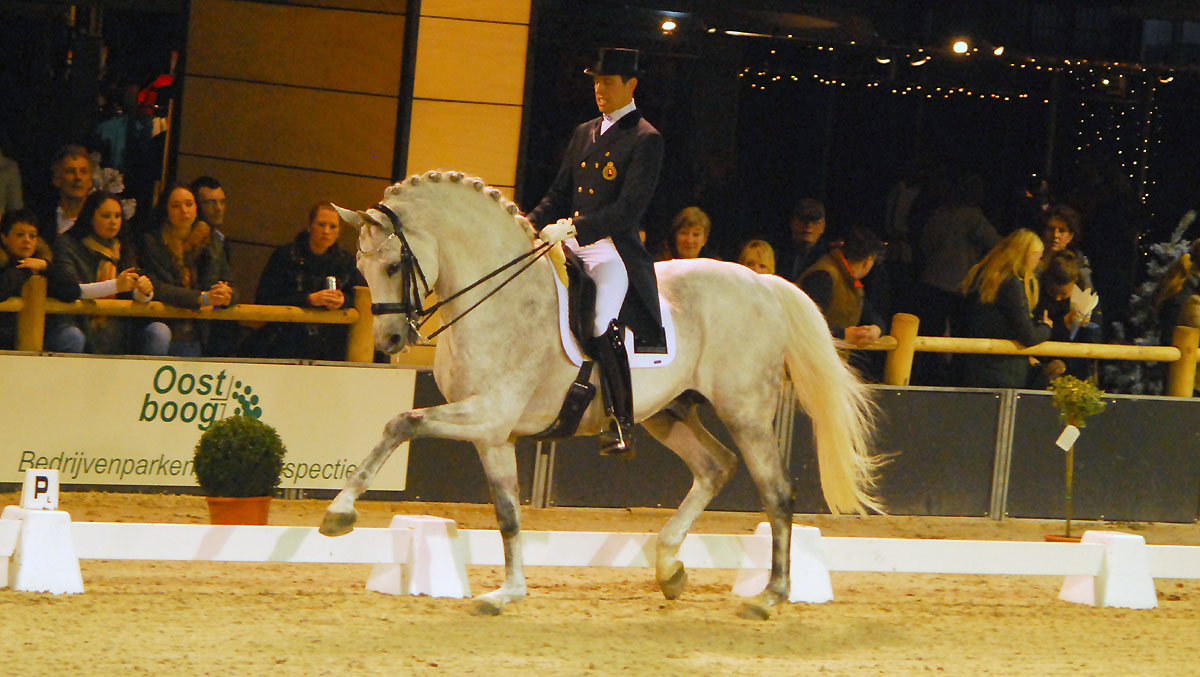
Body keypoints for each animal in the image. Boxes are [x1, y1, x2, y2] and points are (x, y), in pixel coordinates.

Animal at [319, 170, 883, 619]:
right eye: (360, 269)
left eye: (393, 266)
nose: (391, 341)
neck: (500, 298)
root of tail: (763, 283)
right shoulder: (492, 432)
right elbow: (507, 512)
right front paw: (508, 593)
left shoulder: (486, 414)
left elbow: (402, 421)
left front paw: (339, 515)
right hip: (667, 412)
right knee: (714, 466)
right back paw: (670, 568)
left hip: (745, 410)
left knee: (776, 490)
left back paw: (769, 597)